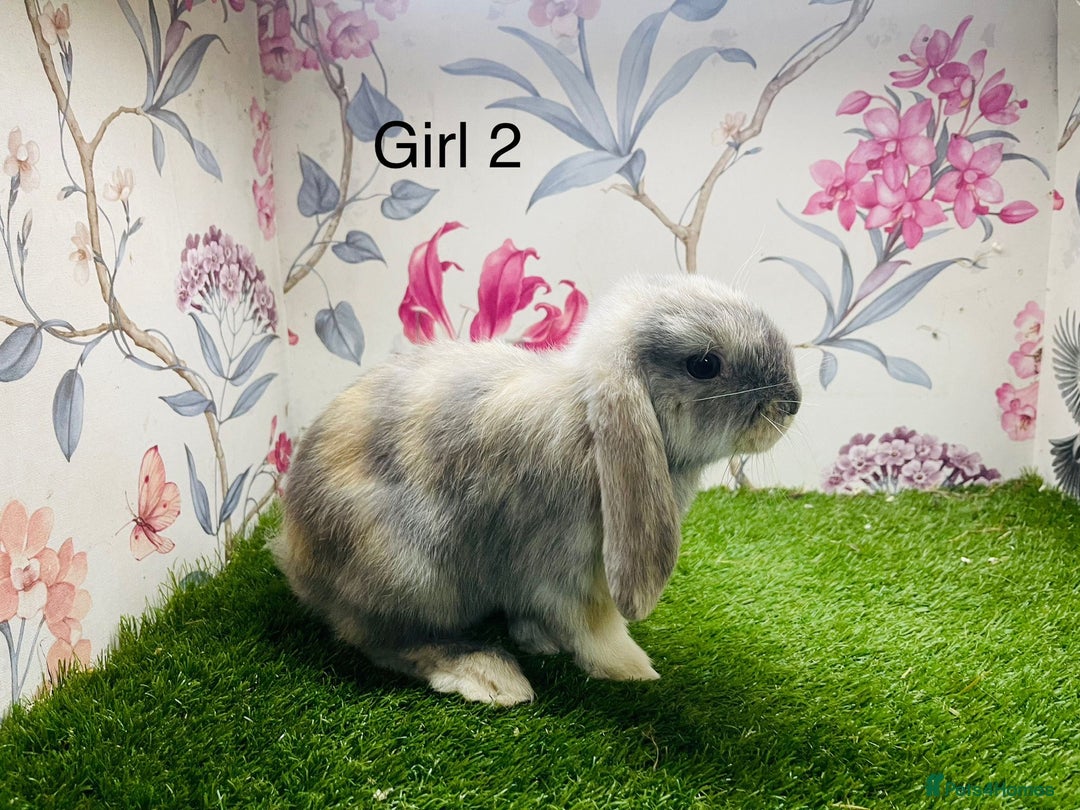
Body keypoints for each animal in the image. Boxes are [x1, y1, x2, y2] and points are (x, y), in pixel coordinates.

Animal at [273, 274, 800, 706]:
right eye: (705, 364)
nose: (792, 402)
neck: (589, 422)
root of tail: (296, 557)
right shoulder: (568, 569)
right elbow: (594, 626)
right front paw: (633, 669)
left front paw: (539, 640)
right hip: (406, 571)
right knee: (384, 639)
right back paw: (487, 674)